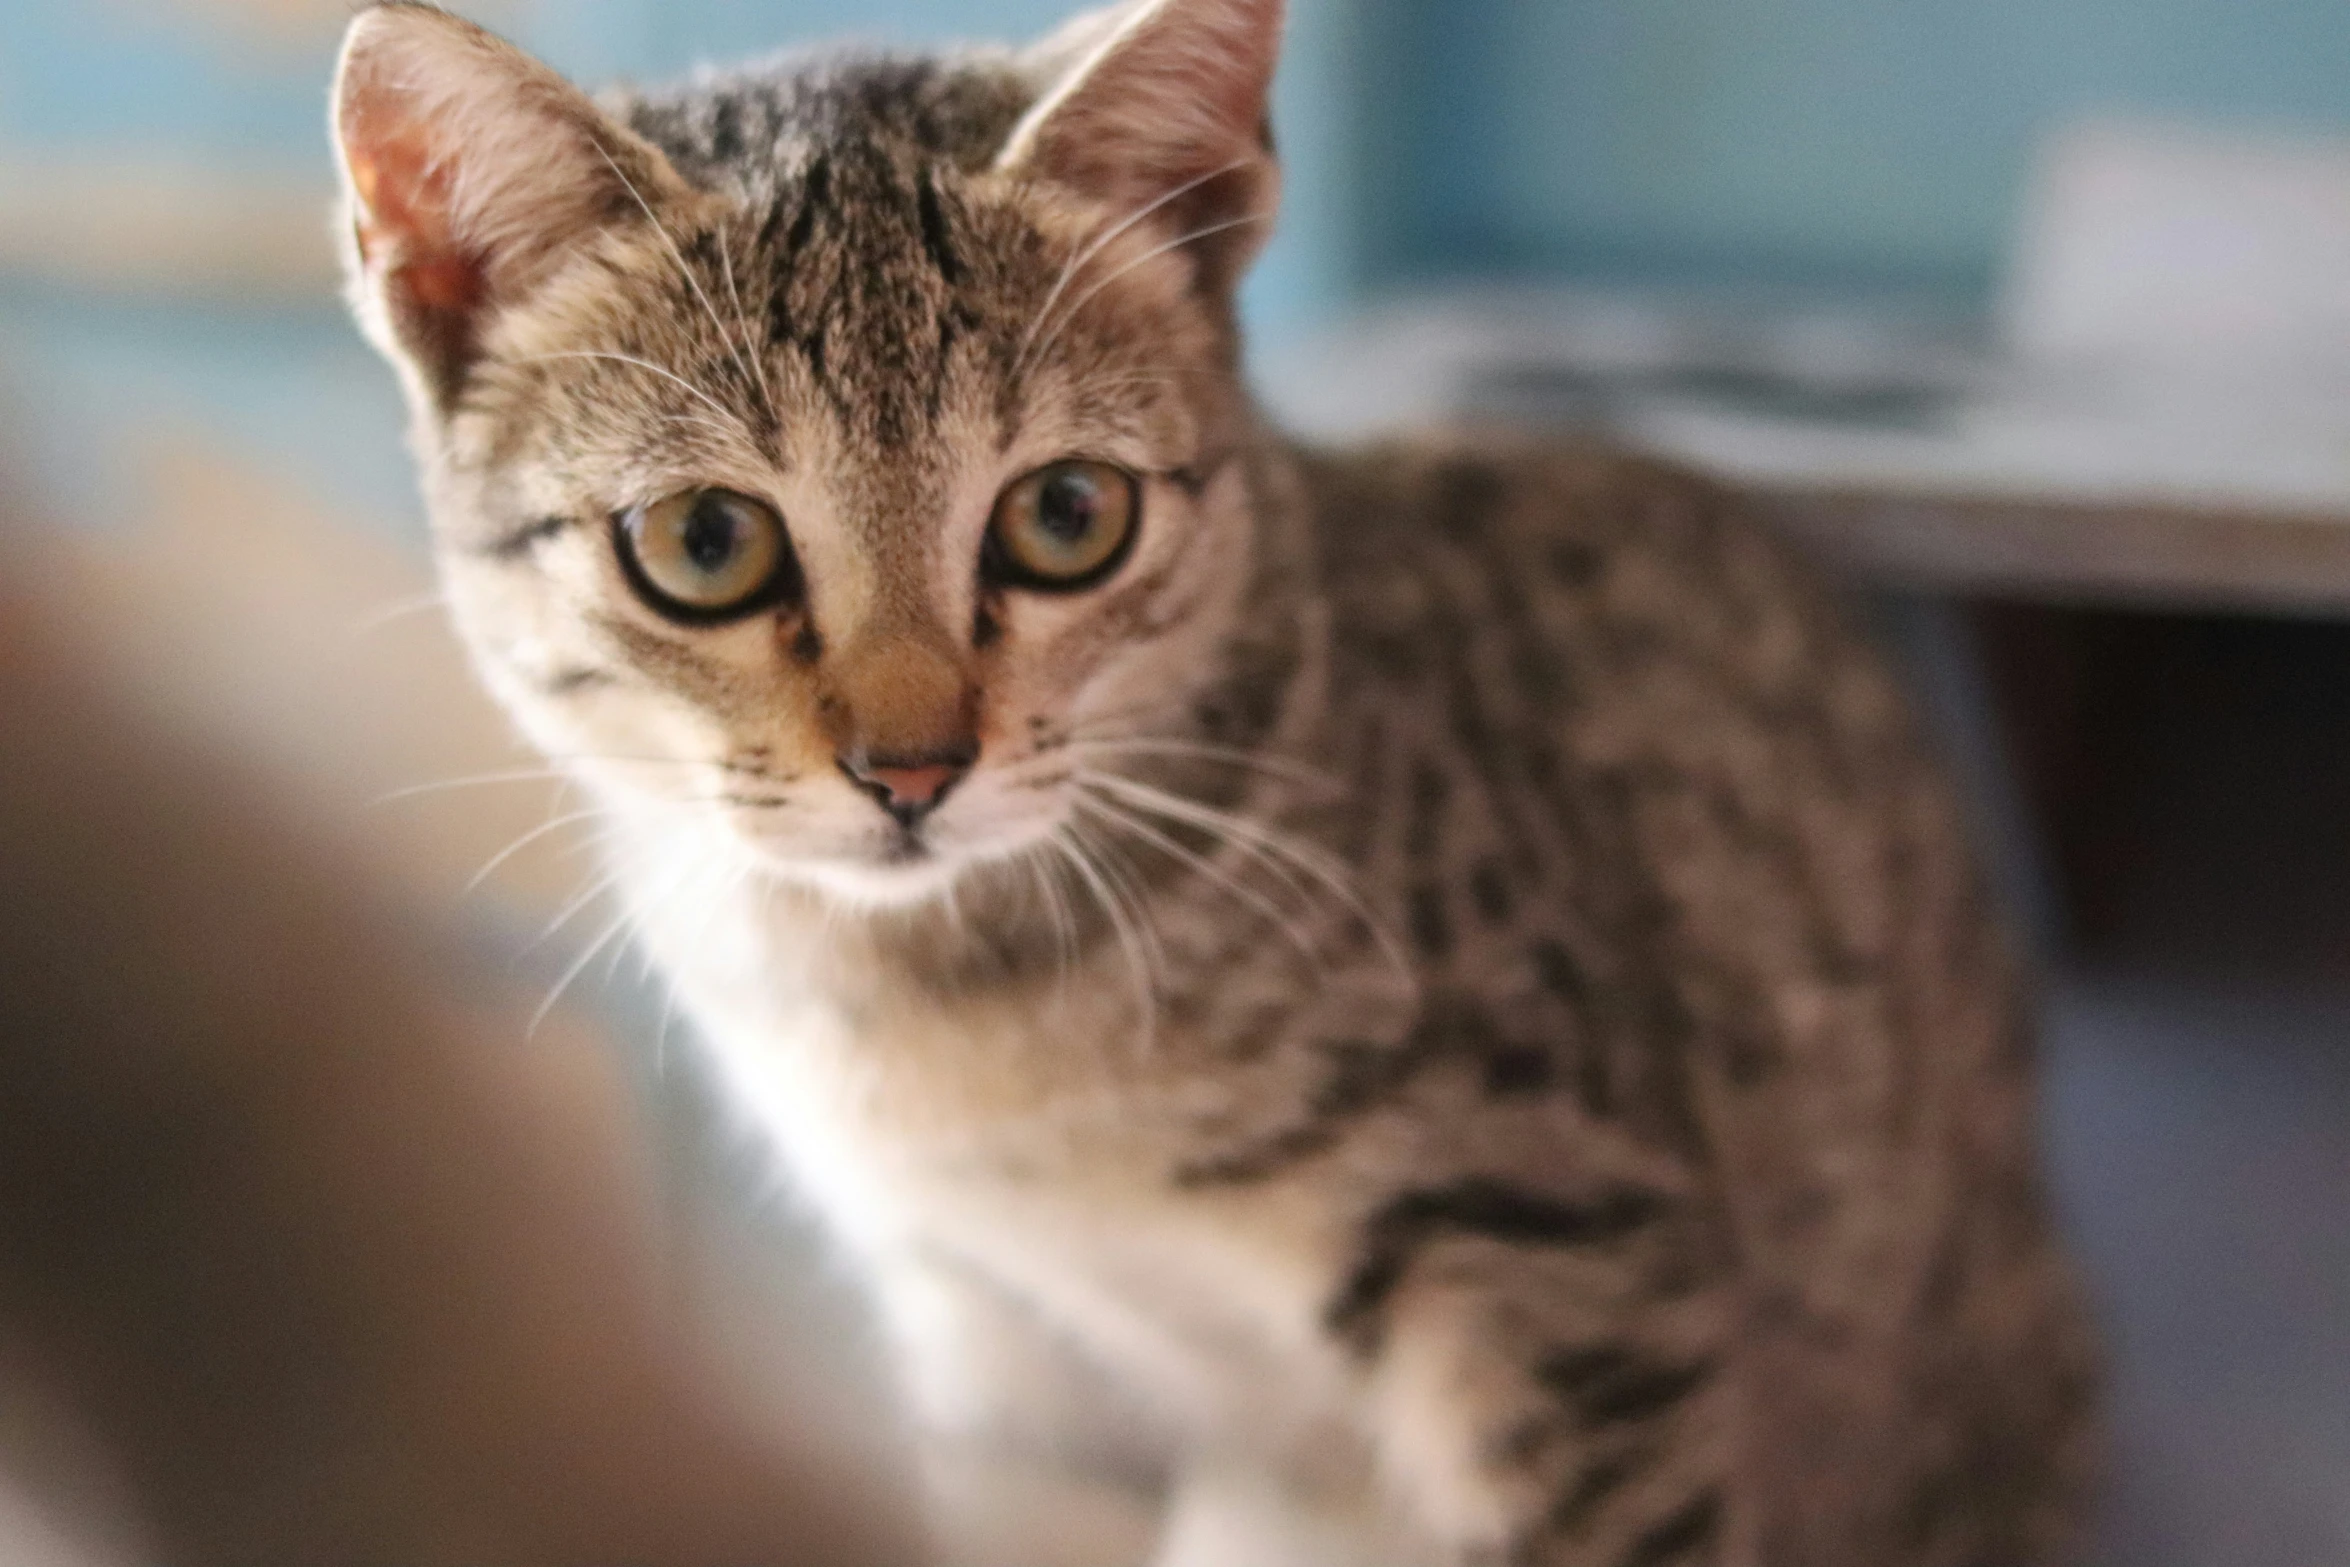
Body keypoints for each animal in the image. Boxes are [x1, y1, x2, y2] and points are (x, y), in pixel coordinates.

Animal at [326, 6, 2096, 1559]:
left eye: (1065, 515)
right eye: (705, 541)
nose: (913, 769)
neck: (951, 1018)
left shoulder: (1567, 1270)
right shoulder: (1004, 1356)